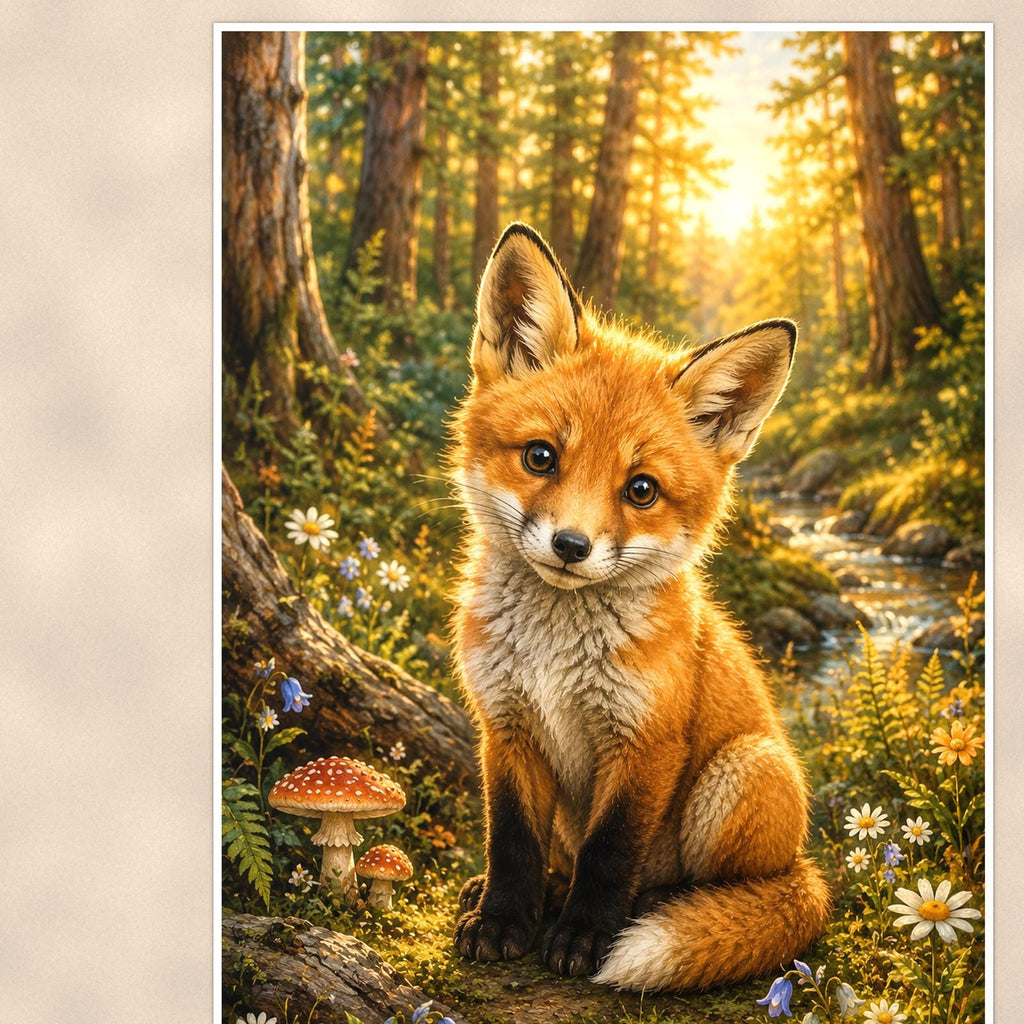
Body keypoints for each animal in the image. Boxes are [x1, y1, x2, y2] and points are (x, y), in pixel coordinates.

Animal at [447, 222, 831, 992]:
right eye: (540, 456)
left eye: (642, 490)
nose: (571, 546)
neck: (554, 660)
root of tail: (808, 870)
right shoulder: (505, 726)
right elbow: (511, 842)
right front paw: (503, 918)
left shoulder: (646, 744)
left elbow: (609, 854)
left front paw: (585, 936)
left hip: (742, 773)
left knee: (727, 887)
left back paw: (660, 907)